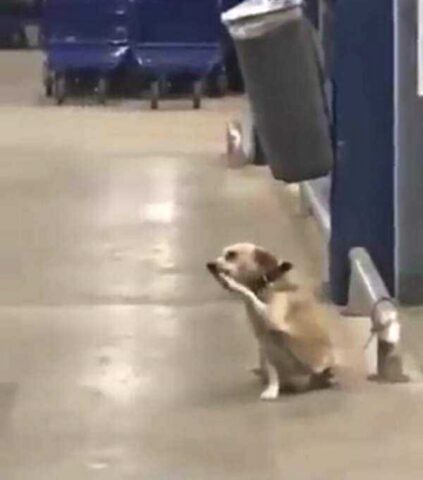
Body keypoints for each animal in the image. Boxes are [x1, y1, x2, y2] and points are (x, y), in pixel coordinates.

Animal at [207, 244, 336, 402]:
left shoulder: (273, 317)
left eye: (231, 255)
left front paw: (233, 284)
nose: (210, 265)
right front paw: (271, 388)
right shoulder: (261, 335)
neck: (266, 282)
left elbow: (248, 294)